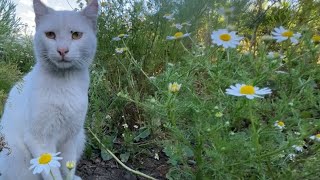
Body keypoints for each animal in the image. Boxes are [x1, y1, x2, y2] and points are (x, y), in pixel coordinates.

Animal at [0, 0, 99, 179]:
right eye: (50, 35)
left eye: (76, 35)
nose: (62, 50)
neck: (64, 85)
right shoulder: (39, 140)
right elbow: (52, 173)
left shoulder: (71, 137)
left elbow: (68, 168)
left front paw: (70, 175)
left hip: (80, 137)